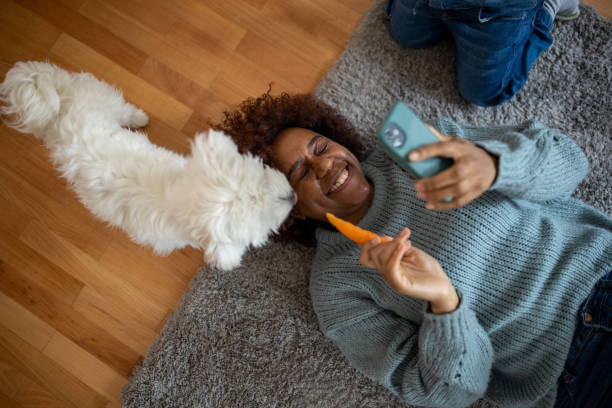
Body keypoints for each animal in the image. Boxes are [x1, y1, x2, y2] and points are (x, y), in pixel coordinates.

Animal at [0, 61, 296, 270]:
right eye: (262, 221)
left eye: (261, 176)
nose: (293, 195)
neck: (177, 194)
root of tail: (61, 105)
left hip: (104, 100)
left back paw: (138, 118)